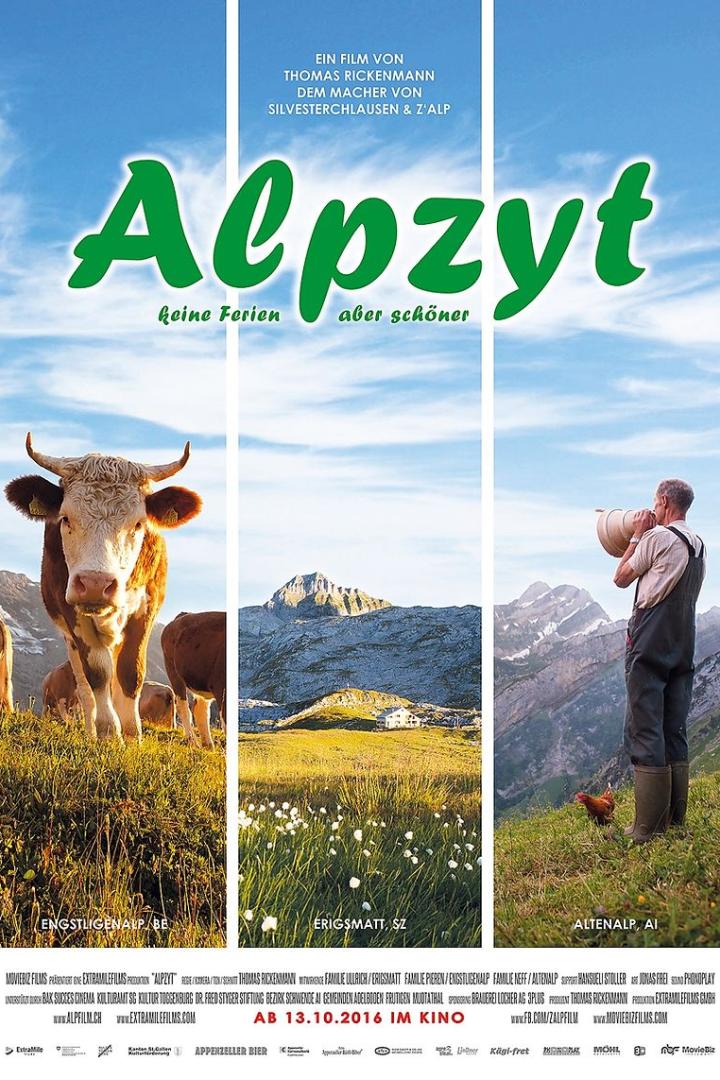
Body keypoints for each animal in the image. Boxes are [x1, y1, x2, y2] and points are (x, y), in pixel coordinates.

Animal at [5, 434, 201, 742]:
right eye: (66, 518)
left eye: (138, 524)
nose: (95, 584)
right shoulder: (72, 615)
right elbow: (96, 674)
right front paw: (109, 732)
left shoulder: (146, 609)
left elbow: (130, 673)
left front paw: (132, 734)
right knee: (86, 688)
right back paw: (92, 729)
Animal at [161, 611, 225, 750]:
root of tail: (184, 614)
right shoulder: (221, 689)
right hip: (174, 672)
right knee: (183, 707)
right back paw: (192, 742)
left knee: (200, 709)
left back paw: (208, 745)